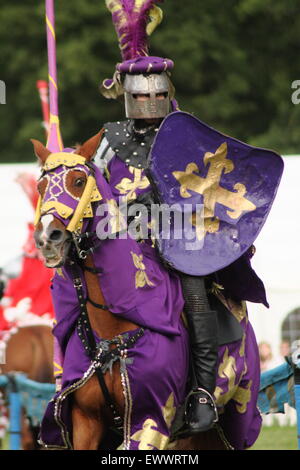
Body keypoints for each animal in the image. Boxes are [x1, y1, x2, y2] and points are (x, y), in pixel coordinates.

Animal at [31, 134, 262, 450]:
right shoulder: (85, 423)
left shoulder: (150, 421)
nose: (47, 238)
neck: (112, 332)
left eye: (78, 181)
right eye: (41, 186)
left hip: (234, 418)